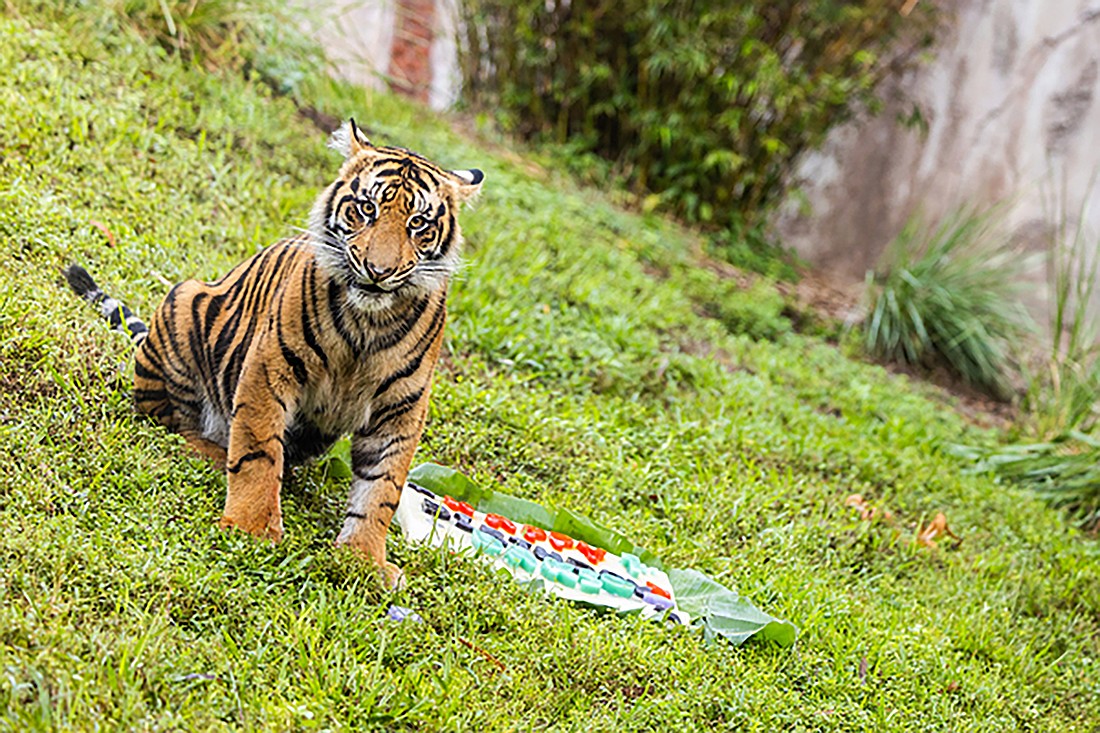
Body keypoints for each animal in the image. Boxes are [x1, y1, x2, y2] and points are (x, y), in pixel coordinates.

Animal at [64, 119, 483, 587]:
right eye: (366, 209)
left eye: (417, 223)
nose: (379, 271)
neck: (368, 322)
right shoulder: (270, 369)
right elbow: (258, 451)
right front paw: (251, 528)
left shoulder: (401, 409)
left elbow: (381, 489)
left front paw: (363, 560)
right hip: (182, 305)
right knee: (173, 425)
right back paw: (213, 452)